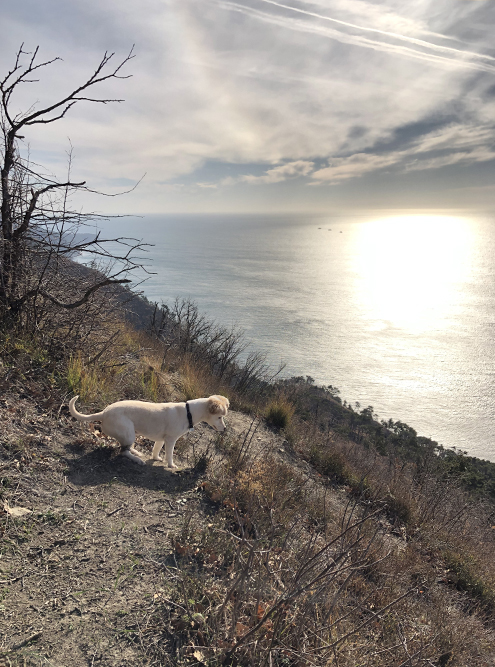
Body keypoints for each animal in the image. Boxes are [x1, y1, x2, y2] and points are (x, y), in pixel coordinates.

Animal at [69, 394, 230, 468]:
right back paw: (138, 460)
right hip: (129, 433)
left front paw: (156, 458)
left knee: (126, 448)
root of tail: (103, 413)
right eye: (220, 417)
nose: (225, 429)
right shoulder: (171, 440)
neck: (188, 412)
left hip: (130, 435)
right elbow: (170, 455)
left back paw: (136, 452)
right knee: (123, 452)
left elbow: (156, 450)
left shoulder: (161, 439)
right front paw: (171, 465)